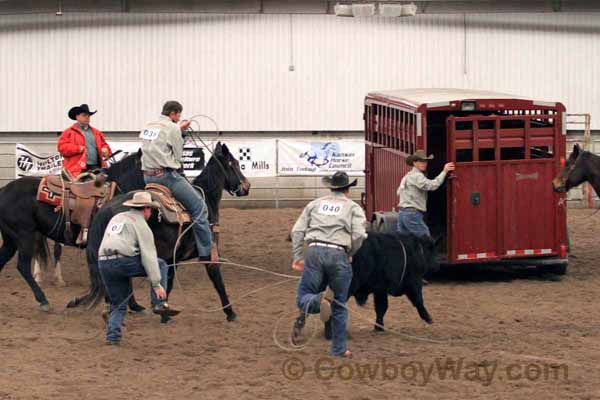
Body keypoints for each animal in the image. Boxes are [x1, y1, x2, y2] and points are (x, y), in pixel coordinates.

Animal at [67, 142, 250, 320]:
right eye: (234, 163)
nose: (247, 186)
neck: (207, 201)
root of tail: (105, 208)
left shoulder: (172, 258)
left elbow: (168, 283)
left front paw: (163, 310)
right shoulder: (208, 252)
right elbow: (217, 279)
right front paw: (230, 312)